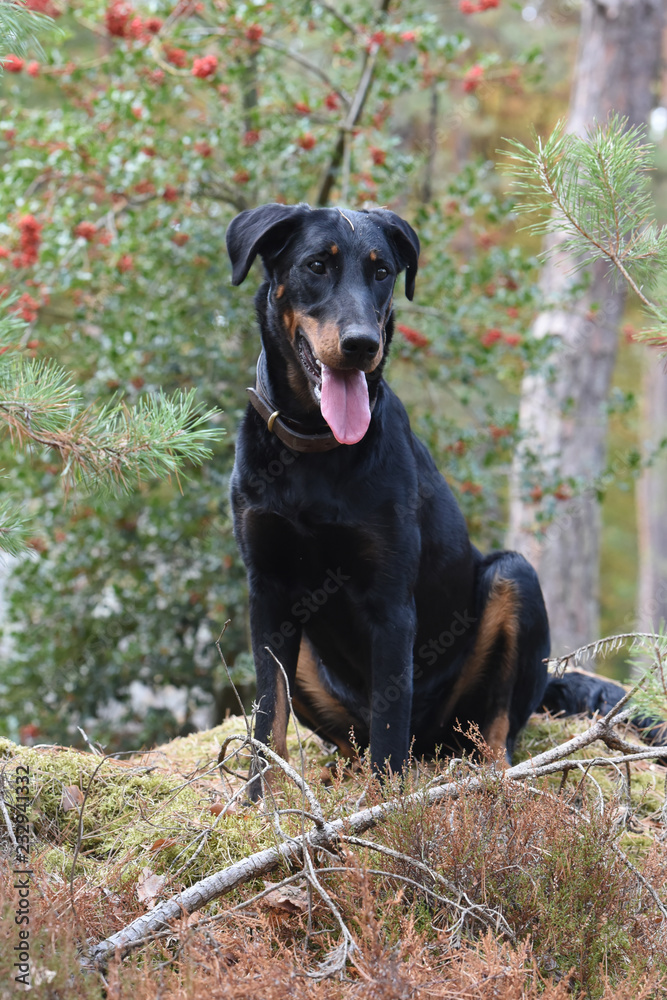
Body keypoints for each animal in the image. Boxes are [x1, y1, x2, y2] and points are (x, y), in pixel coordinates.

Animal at [227, 205, 664, 796]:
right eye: (317, 265)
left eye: (381, 272)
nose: (362, 344)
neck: (315, 449)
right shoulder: (268, 593)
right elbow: (268, 717)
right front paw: (262, 800)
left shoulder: (391, 600)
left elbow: (391, 722)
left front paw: (385, 808)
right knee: (351, 739)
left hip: (513, 579)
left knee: (494, 729)